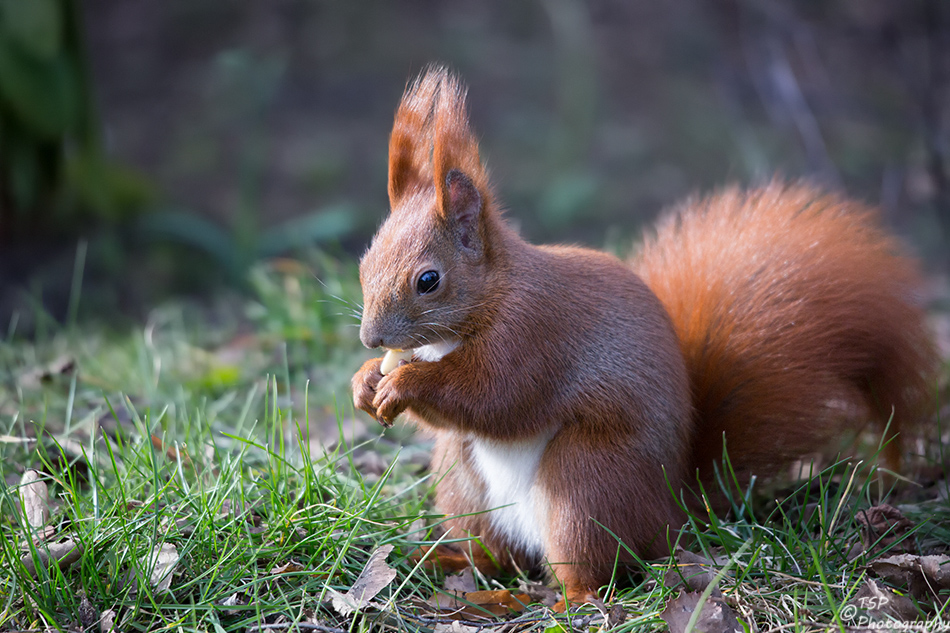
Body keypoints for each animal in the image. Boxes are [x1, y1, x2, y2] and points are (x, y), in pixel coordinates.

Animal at [350, 66, 936, 604]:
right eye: (364, 261)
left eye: (429, 281)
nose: (372, 340)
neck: (490, 298)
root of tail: (672, 511)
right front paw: (364, 382)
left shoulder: (534, 334)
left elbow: (495, 396)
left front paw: (404, 385)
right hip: (464, 482)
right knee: (497, 555)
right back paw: (456, 567)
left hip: (586, 481)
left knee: (588, 568)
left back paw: (563, 599)